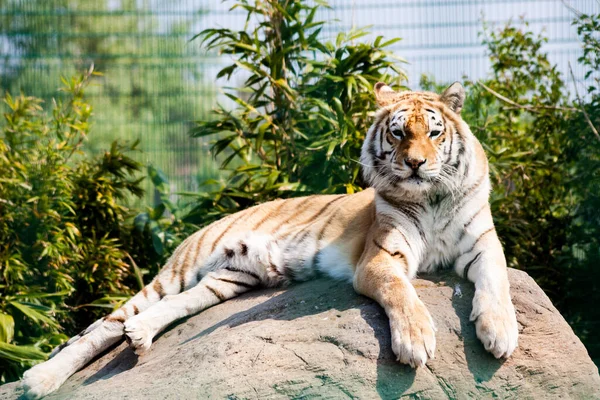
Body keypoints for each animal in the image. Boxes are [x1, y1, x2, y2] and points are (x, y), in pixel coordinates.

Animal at [21, 83, 516, 398]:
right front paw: (415, 340)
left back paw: (139, 336)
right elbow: (401, 291)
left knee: (167, 310)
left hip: (228, 279)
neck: (430, 198)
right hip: (176, 273)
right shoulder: (381, 256)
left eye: (434, 132)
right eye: (398, 133)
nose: (415, 164)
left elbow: (497, 282)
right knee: (100, 330)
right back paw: (38, 380)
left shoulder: (483, 243)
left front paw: (499, 332)